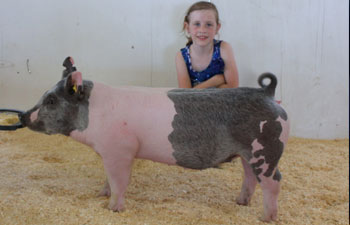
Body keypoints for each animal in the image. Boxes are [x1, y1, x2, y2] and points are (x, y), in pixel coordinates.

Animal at [20, 56, 292, 221]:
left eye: (51, 100)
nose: (23, 115)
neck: (95, 114)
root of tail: (267, 93)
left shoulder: (121, 150)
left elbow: (120, 181)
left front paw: (113, 208)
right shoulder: (108, 153)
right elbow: (108, 178)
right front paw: (101, 195)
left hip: (266, 151)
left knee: (274, 181)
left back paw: (266, 218)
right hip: (248, 153)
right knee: (250, 177)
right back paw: (240, 203)